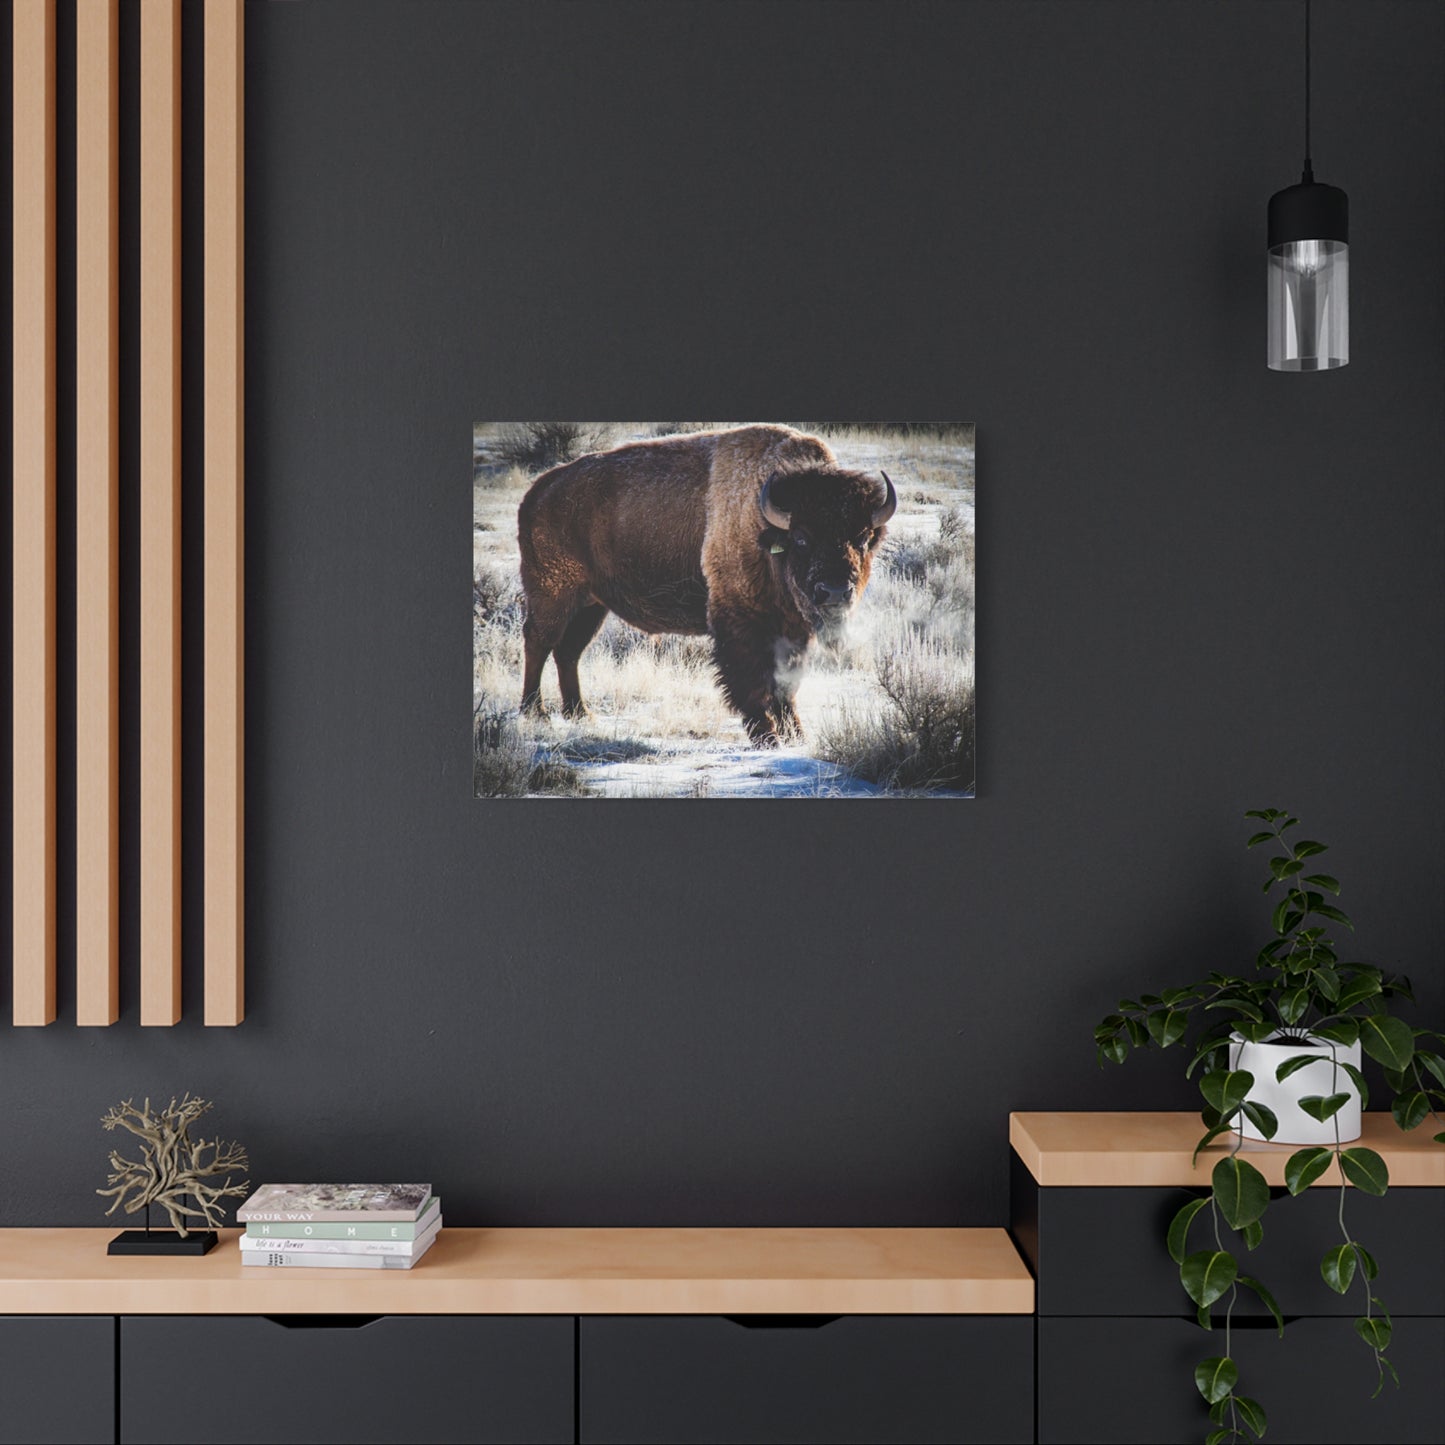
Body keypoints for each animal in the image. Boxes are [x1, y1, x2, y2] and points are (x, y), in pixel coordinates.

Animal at [516, 425, 897, 745]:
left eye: (863, 538)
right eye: (801, 539)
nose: (834, 592)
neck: (765, 527)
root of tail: (538, 491)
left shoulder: (793, 630)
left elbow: (786, 685)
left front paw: (795, 736)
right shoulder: (741, 622)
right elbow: (753, 682)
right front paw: (767, 737)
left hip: (591, 605)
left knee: (568, 651)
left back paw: (580, 714)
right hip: (553, 594)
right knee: (539, 642)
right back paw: (535, 712)